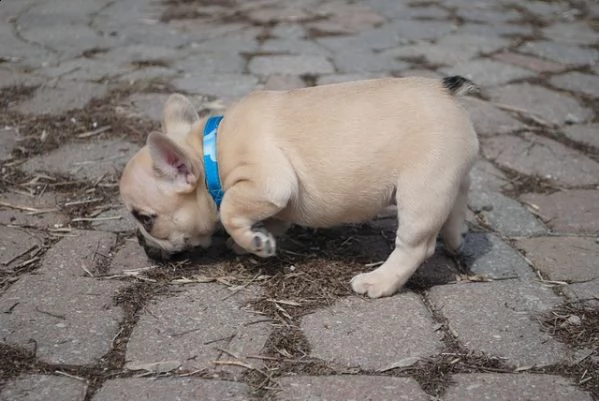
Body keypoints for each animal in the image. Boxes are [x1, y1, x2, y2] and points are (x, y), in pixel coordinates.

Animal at [119, 77, 480, 296]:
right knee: (459, 198)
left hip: (421, 189)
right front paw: (259, 235)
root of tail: (445, 93)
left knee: (414, 246)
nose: (141, 243)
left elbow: (230, 209)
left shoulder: (268, 181)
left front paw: (254, 241)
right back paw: (456, 237)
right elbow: (275, 218)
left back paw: (378, 281)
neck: (211, 154)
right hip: (448, 176)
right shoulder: (276, 197)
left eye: (146, 218)